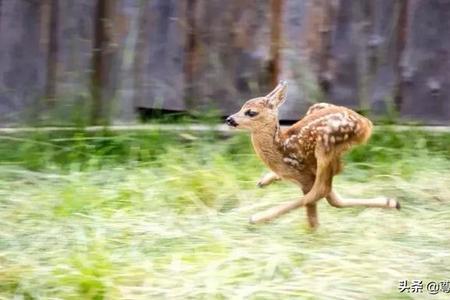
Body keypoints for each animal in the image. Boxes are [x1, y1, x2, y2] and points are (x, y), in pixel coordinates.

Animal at [225, 79, 400, 227]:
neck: (281, 150)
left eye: (251, 112)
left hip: (325, 145)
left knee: (322, 191)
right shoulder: (307, 175)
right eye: (241, 107)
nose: (229, 119)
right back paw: (392, 202)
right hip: (320, 120)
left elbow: (313, 203)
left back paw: (258, 217)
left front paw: (312, 234)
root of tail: (366, 123)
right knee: (332, 190)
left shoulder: (305, 177)